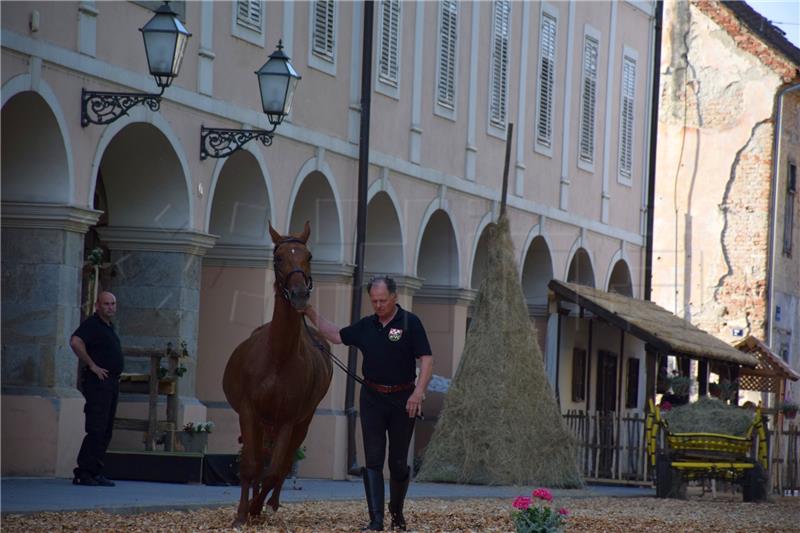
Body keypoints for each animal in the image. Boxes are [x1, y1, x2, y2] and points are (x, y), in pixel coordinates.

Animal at [222, 220, 332, 524]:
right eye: (278, 257)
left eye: (309, 256)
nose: (299, 295)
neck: (278, 358)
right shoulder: (248, 411)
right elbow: (251, 464)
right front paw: (241, 514)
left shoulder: (288, 420)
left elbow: (274, 470)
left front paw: (256, 507)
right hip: (261, 422)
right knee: (260, 457)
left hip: (301, 422)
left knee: (279, 465)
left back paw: (269, 502)